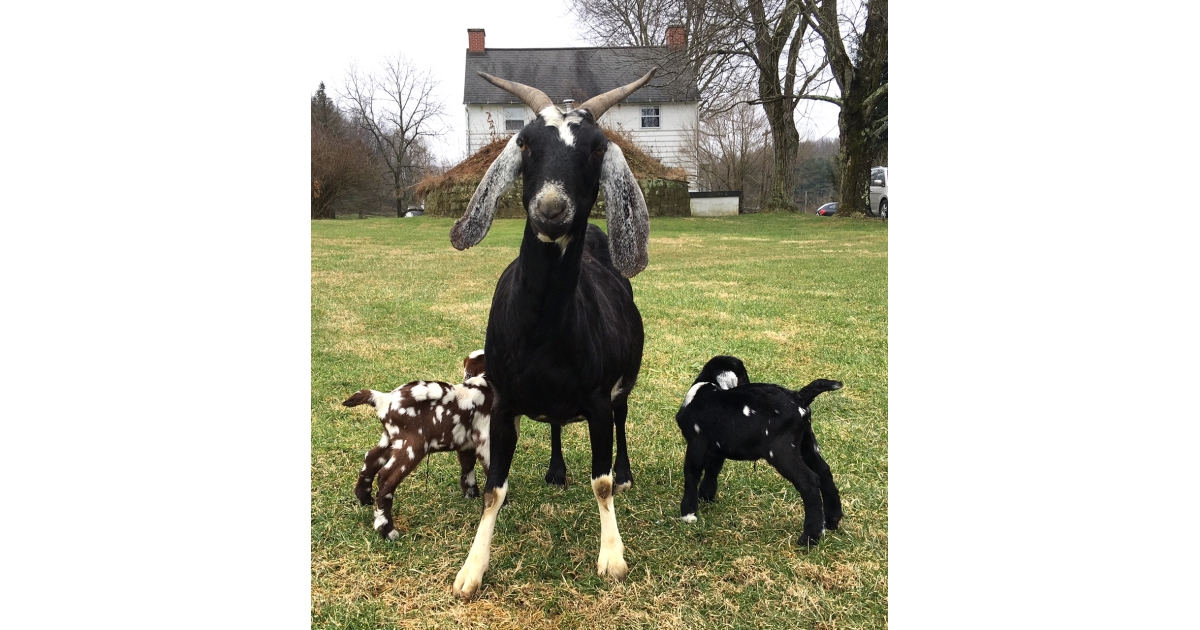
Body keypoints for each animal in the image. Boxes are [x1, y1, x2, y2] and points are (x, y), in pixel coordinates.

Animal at [342, 351, 493, 541]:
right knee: (386, 478)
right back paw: (387, 529)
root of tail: (384, 399)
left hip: (392, 439)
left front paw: (471, 494)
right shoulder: (485, 440)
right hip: (412, 445)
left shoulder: (465, 443)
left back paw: (364, 498)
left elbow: (467, 467)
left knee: (371, 458)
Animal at [446, 69, 655, 599]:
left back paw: (625, 472)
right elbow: (494, 489)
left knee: (623, 423)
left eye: (598, 148)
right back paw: (556, 471)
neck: (540, 332)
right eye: (524, 142)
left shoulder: (599, 402)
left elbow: (601, 482)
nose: (552, 208)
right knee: (558, 427)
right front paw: (471, 569)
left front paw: (612, 556)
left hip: (623, 387)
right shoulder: (502, 404)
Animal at [676, 355, 844, 547]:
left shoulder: (697, 442)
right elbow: (712, 470)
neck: (705, 386)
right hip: (805, 443)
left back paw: (810, 537)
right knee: (824, 472)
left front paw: (688, 514)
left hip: (781, 450)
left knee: (809, 481)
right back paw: (831, 520)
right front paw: (706, 497)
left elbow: (692, 473)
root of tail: (800, 397)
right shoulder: (717, 447)